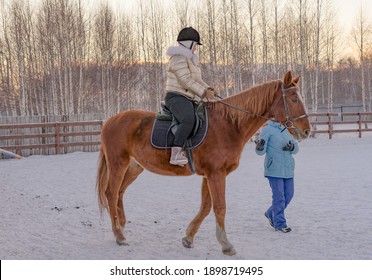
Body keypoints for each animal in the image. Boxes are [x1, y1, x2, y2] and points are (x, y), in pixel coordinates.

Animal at [96, 70, 310, 256]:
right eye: (293, 99)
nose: (306, 130)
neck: (230, 124)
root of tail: (109, 121)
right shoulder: (216, 173)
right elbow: (220, 206)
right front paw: (226, 244)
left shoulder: (209, 175)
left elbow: (206, 206)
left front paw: (188, 237)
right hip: (118, 163)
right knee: (111, 193)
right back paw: (119, 235)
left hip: (134, 167)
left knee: (120, 192)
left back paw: (121, 225)